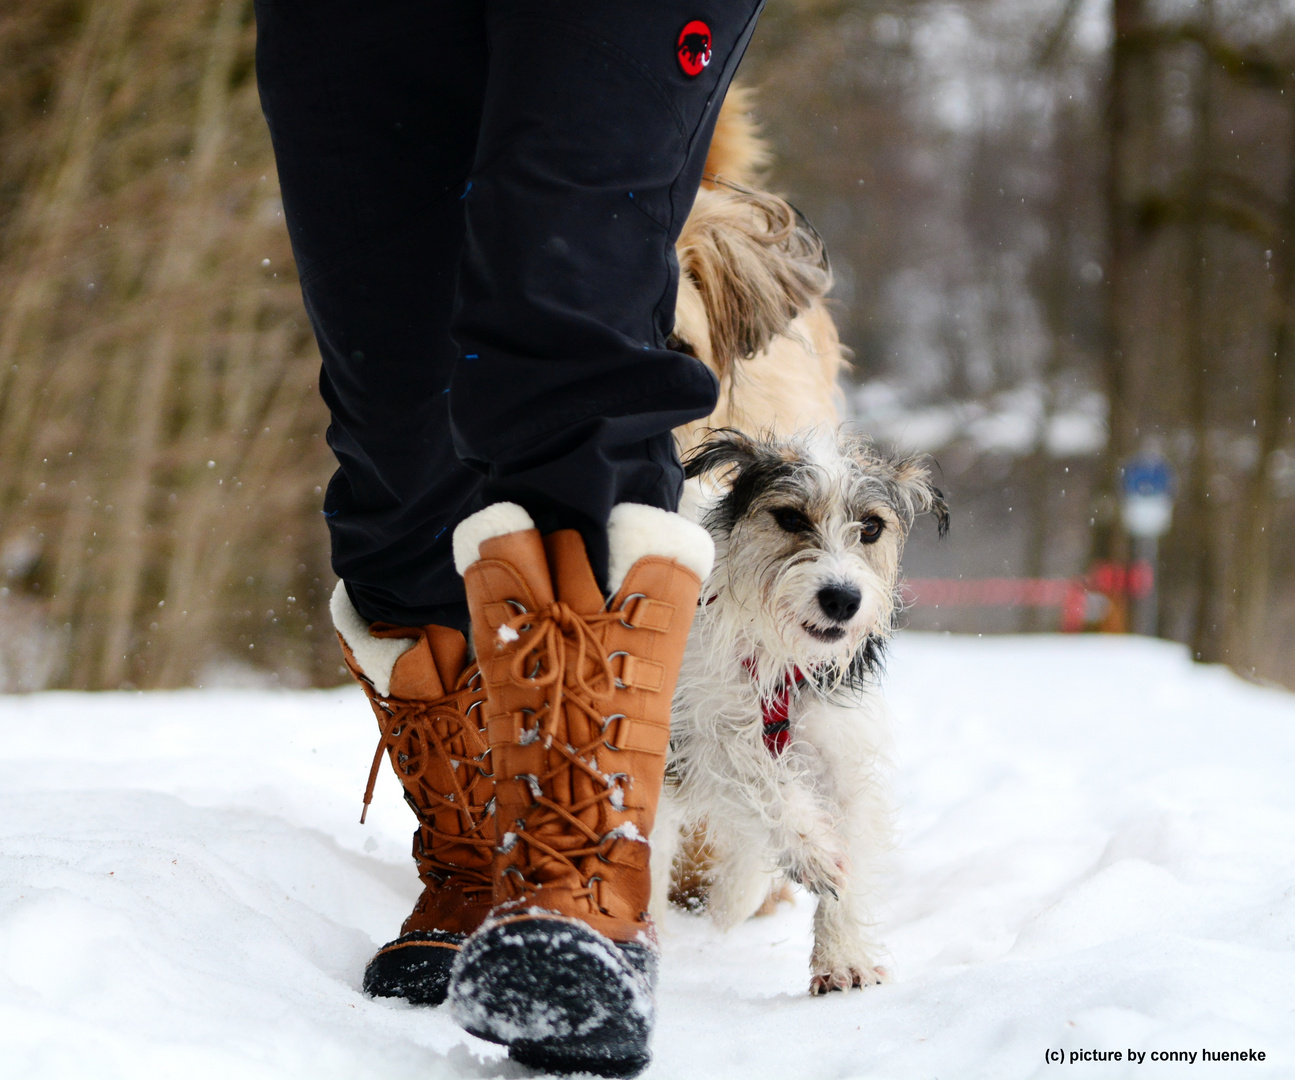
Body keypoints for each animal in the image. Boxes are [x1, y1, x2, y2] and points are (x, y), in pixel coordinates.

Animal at [652, 424, 947, 989]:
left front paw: (842, 957)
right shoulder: (698, 732)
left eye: (871, 527)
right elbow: (757, 773)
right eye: (789, 517)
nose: (842, 599)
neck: (779, 660)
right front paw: (811, 854)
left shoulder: (839, 750)